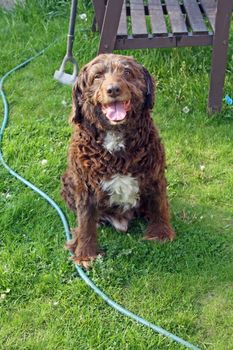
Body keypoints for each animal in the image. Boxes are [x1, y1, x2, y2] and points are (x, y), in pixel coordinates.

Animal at [62, 54, 175, 268]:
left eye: (127, 72)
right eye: (97, 76)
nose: (113, 89)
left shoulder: (155, 174)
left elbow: (159, 204)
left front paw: (161, 233)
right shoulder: (85, 185)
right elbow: (86, 220)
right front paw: (85, 254)